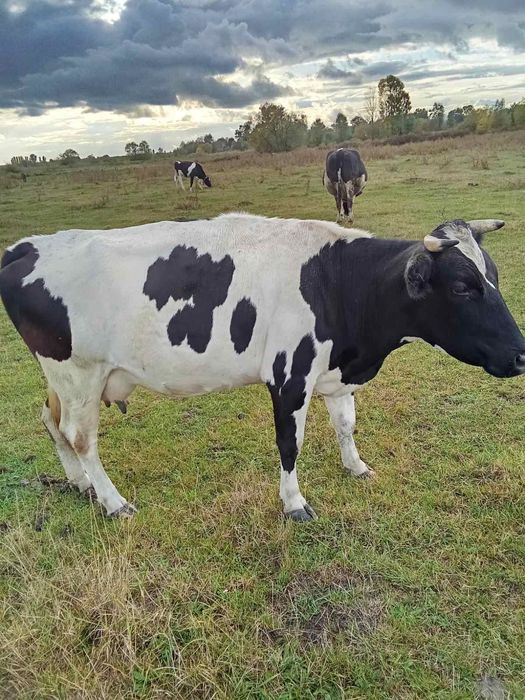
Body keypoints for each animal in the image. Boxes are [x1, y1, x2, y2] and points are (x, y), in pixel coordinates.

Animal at [1, 215, 524, 521]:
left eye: (494, 277)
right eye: (462, 287)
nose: (522, 354)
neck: (336, 280)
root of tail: (26, 246)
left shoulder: (336, 373)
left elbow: (347, 424)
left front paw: (356, 466)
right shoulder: (290, 376)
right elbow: (291, 443)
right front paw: (294, 502)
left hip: (62, 378)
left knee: (52, 422)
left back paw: (80, 483)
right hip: (79, 372)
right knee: (80, 436)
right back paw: (113, 501)